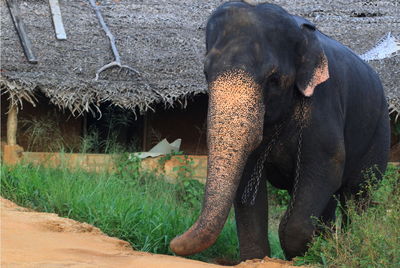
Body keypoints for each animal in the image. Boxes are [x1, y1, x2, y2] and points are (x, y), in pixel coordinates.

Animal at [170, 0, 390, 260]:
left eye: (273, 79)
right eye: (206, 73)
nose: (173, 242)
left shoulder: (323, 103)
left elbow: (328, 163)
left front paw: (301, 255)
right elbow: (248, 184)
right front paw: (256, 259)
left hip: (380, 132)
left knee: (358, 195)